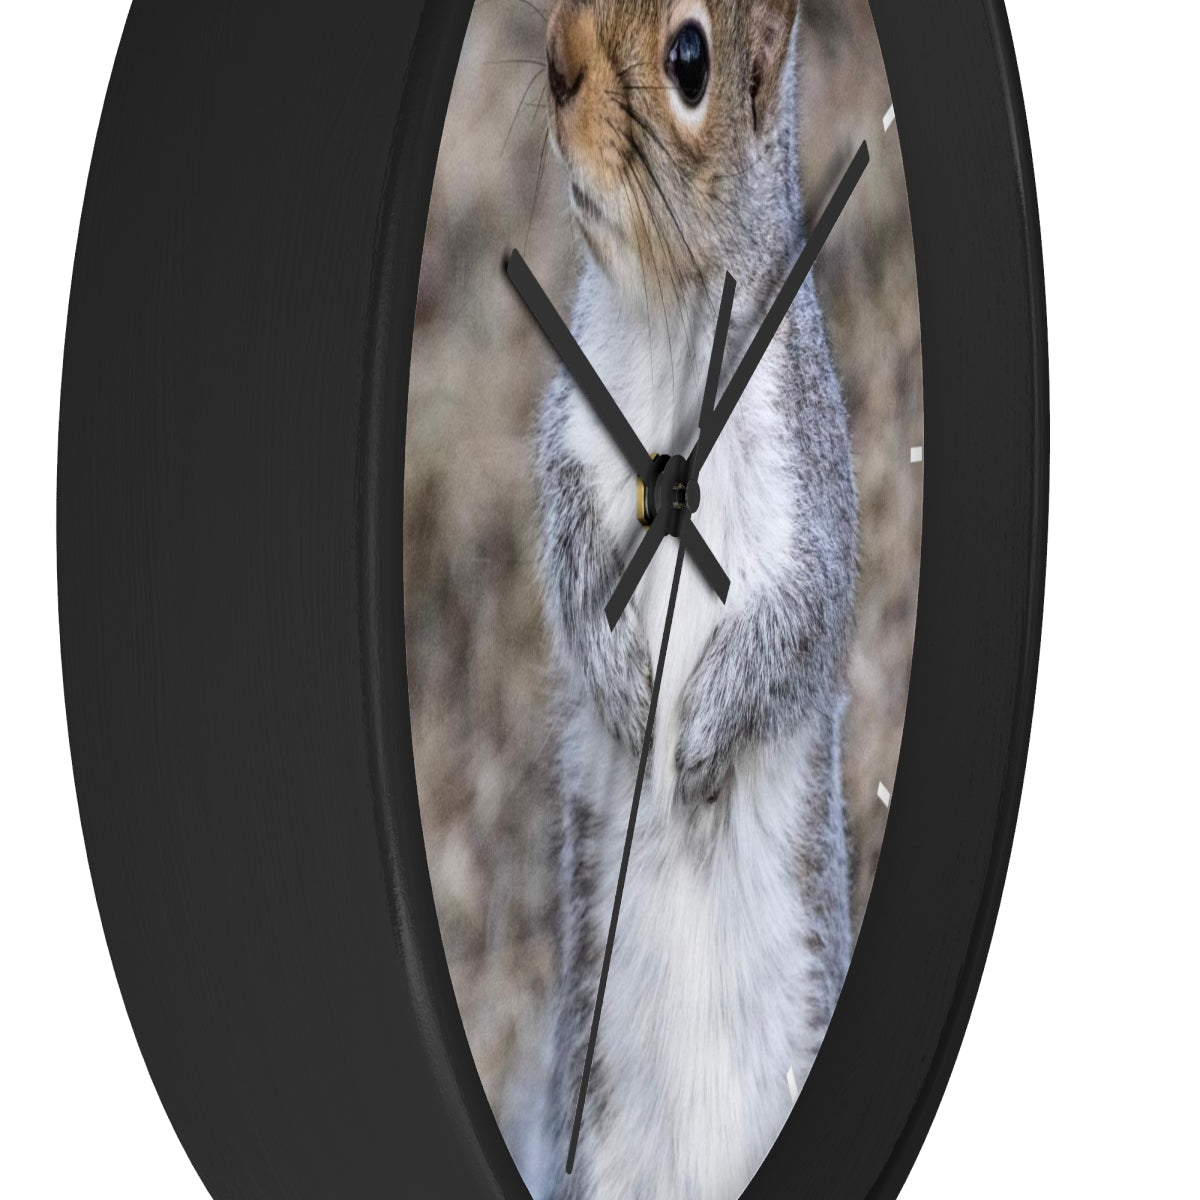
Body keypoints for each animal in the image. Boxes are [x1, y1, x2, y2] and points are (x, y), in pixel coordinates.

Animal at [525, 2, 858, 1197]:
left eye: (689, 60)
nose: (557, 61)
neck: (673, 315)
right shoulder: (571, 444)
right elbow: (574, 561)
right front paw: (630, 697)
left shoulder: (813, 497)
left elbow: (799, 625)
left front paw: (701, 742)